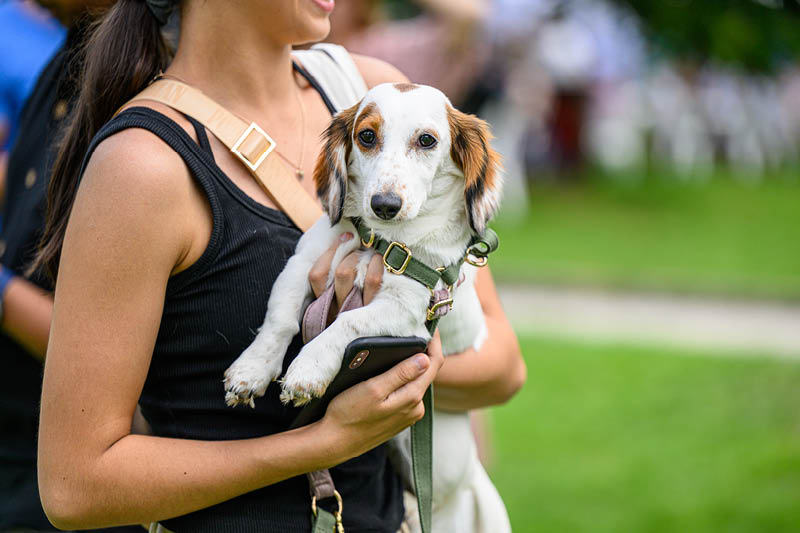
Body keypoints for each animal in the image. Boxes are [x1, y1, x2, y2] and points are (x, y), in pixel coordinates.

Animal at [220, 81, 506, 528]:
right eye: (367, 136)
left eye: (427, 140)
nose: (384, 204)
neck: (383, 241)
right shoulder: (304, 261)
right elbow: (280, 320)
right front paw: (252, 369)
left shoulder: (407, 312)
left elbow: (347, 323)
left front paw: (309, 368)